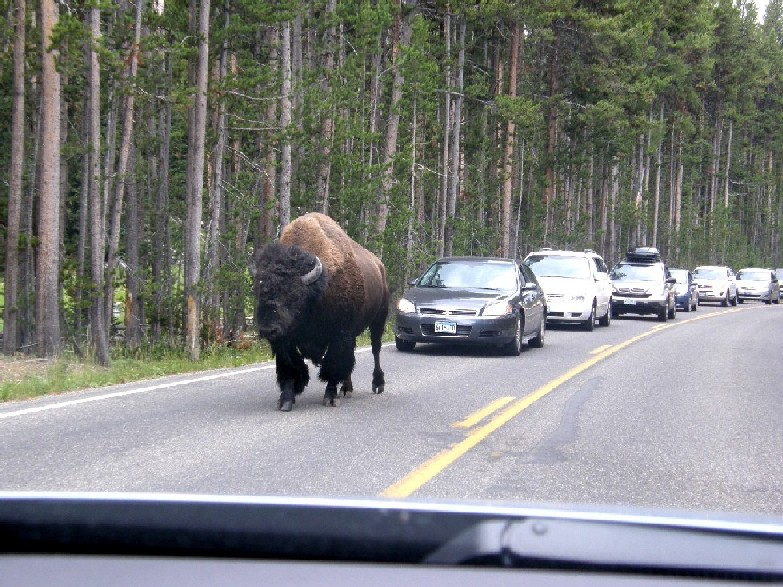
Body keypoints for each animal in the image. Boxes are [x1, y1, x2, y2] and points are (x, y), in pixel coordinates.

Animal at [254, 212, 388, 414]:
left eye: (294, 295)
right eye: (259, 292)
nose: (268, 329)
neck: (316, 291)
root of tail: (379, 266)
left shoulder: (339, 335)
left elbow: (333, 365)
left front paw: (330, 397)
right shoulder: (286, 341)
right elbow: (290, 368)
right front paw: (285, 400)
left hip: (378, 320)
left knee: (375, 349)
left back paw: (377, 384)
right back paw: (346, 389)